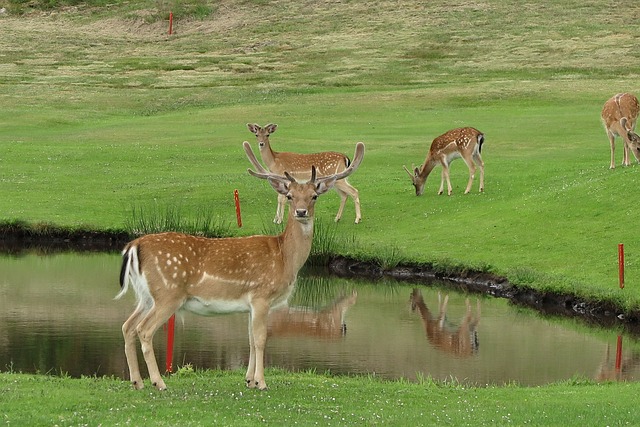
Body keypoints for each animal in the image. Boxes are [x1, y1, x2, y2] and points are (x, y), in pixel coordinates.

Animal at [115, 140, 364, 392]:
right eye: (290, 196)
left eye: (314, 196)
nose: (301, 212)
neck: (285, 258)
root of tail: (133, 246)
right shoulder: (262, 295)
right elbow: (261, 339)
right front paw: (261, 382)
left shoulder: (250, 304)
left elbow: (251, 340)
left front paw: (249, 379)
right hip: (168, 293)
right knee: (144, 330)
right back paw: (159, 382)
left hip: (146, 295)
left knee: (127, 326)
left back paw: (137, 381)